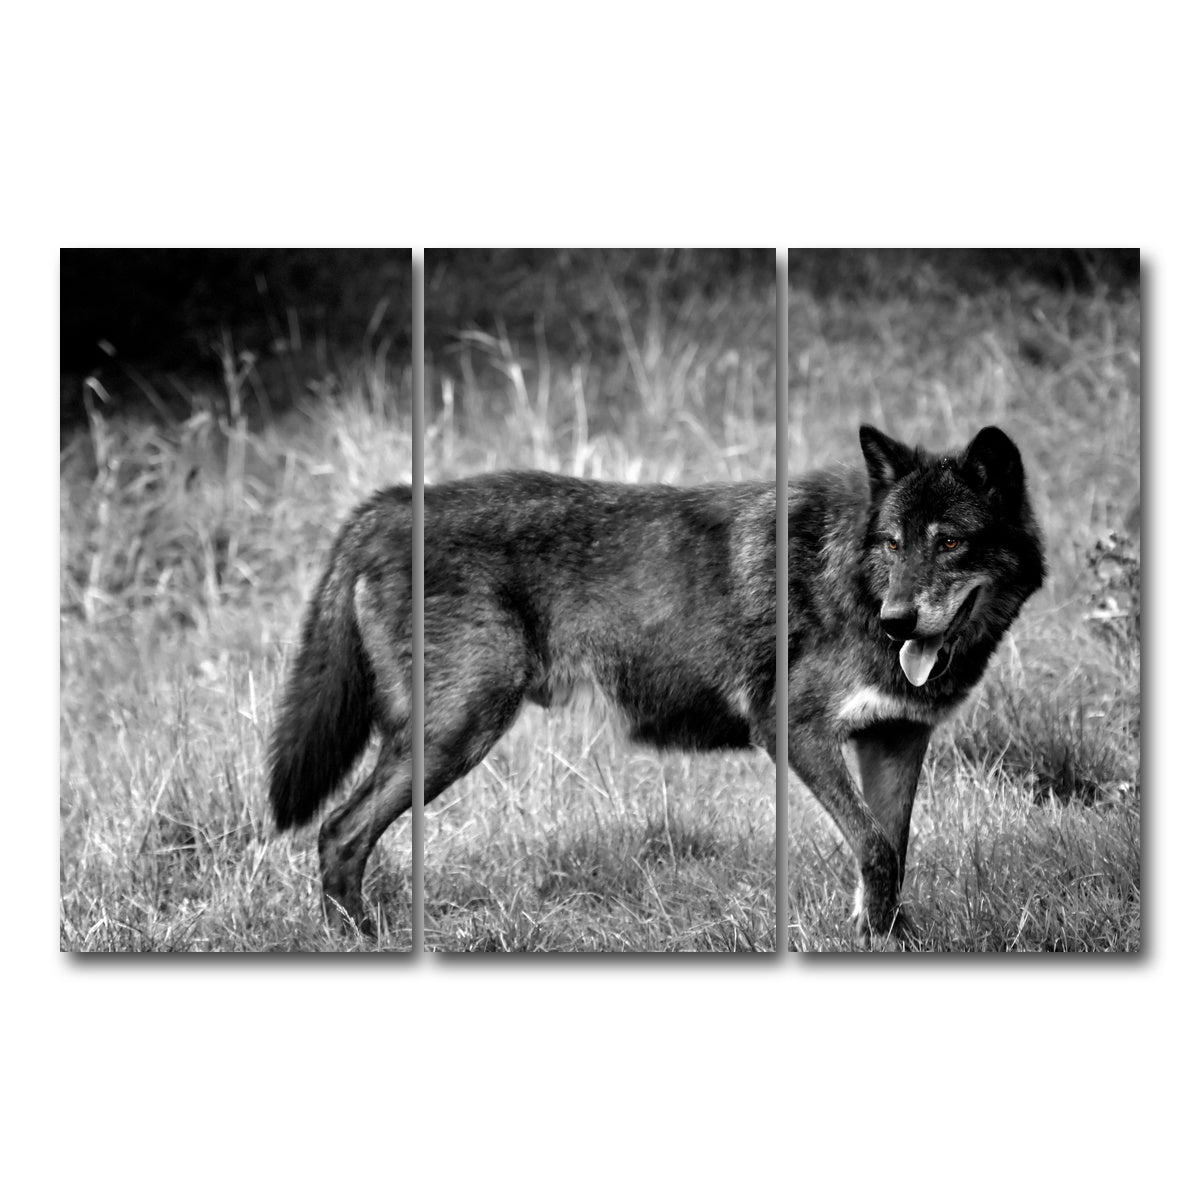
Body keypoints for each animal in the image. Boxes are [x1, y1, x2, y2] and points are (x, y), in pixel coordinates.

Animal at [789, 425, 1044, 945]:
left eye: (949, 542)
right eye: (893, 544)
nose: (896, 622)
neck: (859, 597)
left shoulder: (896, 732)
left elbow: (893, 844)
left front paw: (884, 931)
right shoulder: (796, 729)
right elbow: (875, 844)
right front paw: (880, 932)